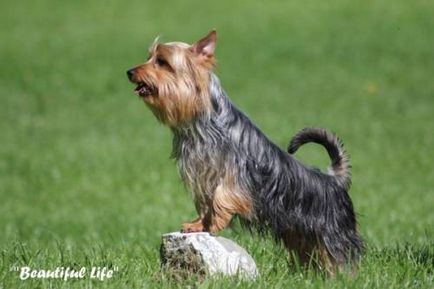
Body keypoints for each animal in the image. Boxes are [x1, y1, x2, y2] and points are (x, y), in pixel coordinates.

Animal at [126, 31, 362, 272]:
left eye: (162, 62)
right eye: (149, 57)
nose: (130, 72)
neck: (204, 123)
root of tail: (335, 179)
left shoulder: (232, 175)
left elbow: (221, 198)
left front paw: (214, 225)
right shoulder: (203, 176)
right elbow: (206, 204)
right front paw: (198, 224)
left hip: (333, 234)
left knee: (339, 257)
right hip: (303, 235)